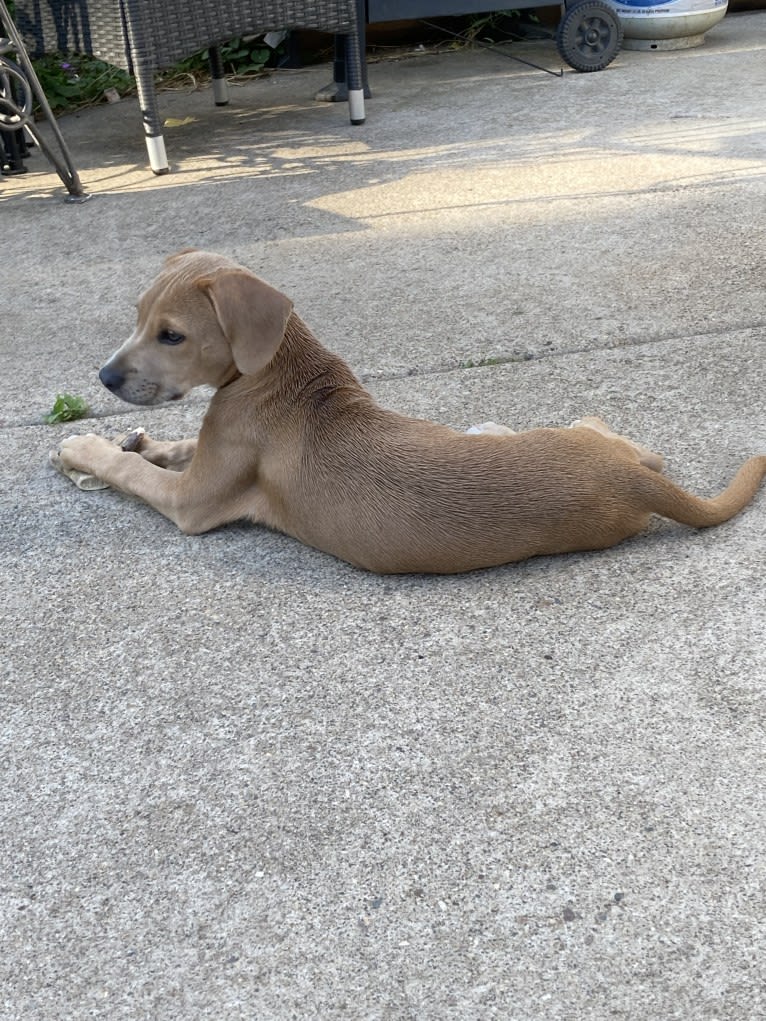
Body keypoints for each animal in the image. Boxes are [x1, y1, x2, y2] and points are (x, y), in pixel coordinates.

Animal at [56, 249, 766, 575]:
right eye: (137, 316)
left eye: (172, 335)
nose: (105, 377)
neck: (281, 369)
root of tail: (630, 481)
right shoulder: (209, 451)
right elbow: (176, 445)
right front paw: (140, 439)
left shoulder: (192, 502)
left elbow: (137, 474)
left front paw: (84, 449)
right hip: (604, 446)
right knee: (629, 439)